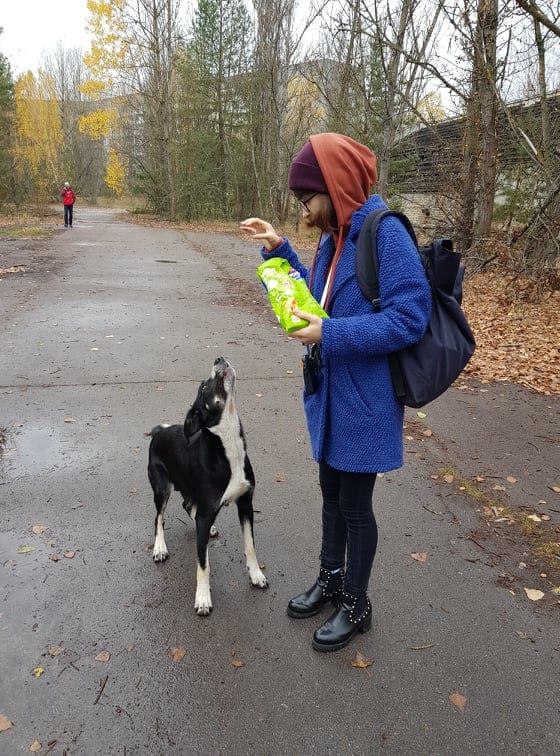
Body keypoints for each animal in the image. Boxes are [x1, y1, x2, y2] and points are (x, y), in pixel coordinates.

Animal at [145, 356, 266, 616]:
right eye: (203, 387)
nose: (218, 358)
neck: (227, 447)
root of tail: (159, 432)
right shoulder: (208, 509)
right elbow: (203, 564)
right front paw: (202, 598)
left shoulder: (245, 504)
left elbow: (250, 545)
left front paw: (256, 574)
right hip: (162, 488)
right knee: (159, 518)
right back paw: (159, 548)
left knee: (187, 505)